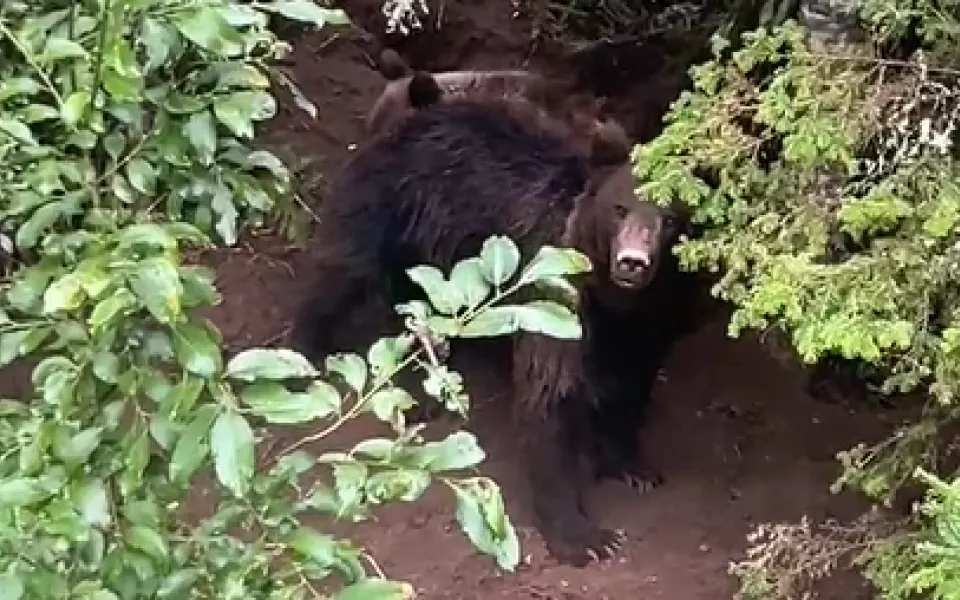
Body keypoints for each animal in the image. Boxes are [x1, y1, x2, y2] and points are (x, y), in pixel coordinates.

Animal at [289, 95, 695, 567]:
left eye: (669, 218)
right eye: (619, 208)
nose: (633, 262)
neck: (614, 299)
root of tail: (414, 112)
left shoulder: (651, 319)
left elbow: (633, 383)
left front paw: (633, 465)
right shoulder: (556, 299)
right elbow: (549, 399)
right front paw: (584, 537)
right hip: (388, 206)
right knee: (341, 275)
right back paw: (303, 354)